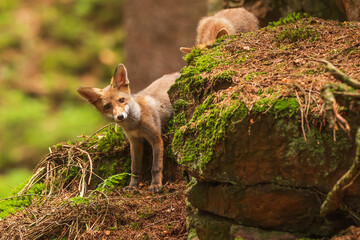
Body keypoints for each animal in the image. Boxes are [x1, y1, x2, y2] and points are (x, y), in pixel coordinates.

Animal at [78, 63, 180, 191]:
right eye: (107, 106)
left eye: (121, 100)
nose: (120, 116)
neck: (135, 125)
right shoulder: (135, 142)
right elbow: (135, 168)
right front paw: (133, 185)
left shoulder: (156, 138)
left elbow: (156, 167)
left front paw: (156, 184)